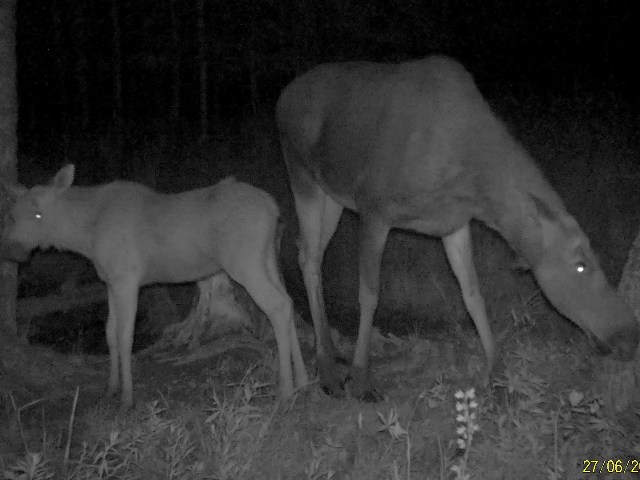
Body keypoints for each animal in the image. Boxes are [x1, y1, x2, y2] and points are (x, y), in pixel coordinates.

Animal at [0, 165, 309, 408]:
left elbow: (126, 336)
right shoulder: (111, 280)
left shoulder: (127, 279)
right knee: (289, 302)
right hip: (267, 258)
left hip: (244, 262)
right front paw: (110, 388)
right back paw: (304, 380)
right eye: (12, 214)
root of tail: (273, 207)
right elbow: (110, 333)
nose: (11, 249)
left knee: (277, 306)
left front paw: (127, 398)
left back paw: (285, 391)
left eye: (38, 214)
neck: (84, 237)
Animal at [276, 55, 638, 401]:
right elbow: (369, 292)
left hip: (332, 193)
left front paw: (498, 373)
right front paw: (362, 379)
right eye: (580, 264)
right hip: (301, 173)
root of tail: (283, 97)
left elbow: (473, 294)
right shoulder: (374, 207)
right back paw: (327, 370)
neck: (470, 181)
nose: (630, 335)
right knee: (309, 257)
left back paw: (331, 356)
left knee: (309, 250)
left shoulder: (454, 223)